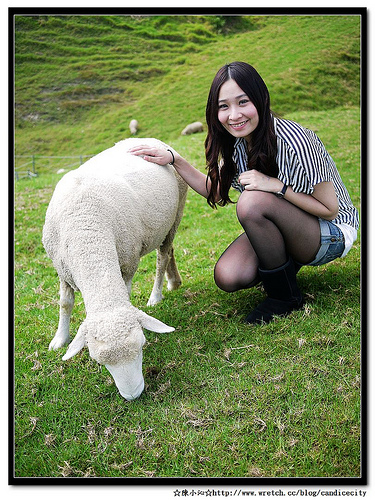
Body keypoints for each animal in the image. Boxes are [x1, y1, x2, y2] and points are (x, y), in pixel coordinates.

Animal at [43, 138, 188, 402]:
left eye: (142, 345)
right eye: (99, 361)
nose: (133, 395)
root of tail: (152, 140)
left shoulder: (128, 263)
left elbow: (127, 292)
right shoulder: (62, 270)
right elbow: (65, 304)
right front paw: (59, 339)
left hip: (175, 216)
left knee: (162, 257)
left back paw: (156, 295)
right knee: (170, 251)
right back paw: (174, 282)